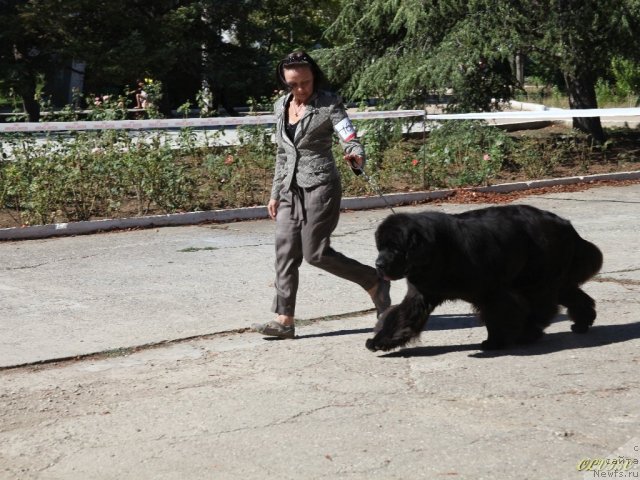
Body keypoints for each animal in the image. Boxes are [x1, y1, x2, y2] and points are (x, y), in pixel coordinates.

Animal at [368, 203, 604, 352]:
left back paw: (528, 333)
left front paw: (494, 342)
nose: (378, 264)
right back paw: (583, 322)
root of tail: (564, 223)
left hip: (538, 279)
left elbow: (496, 315)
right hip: (549, 279)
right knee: (573, 296)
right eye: (381, 247)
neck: (437, 252)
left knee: (543, 306)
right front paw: (380, 340)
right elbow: (401, 316)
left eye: (395, 248)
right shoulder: (420, 294)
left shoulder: (490, 292)